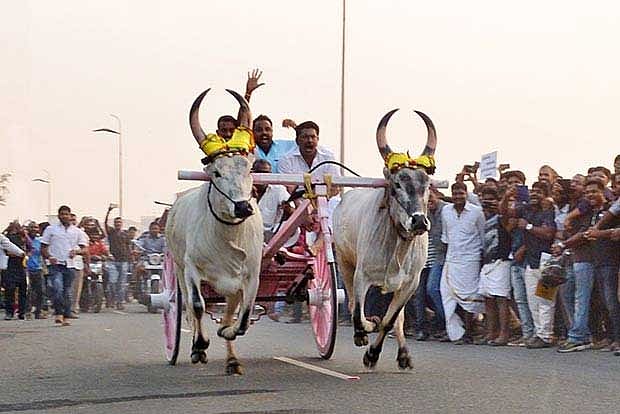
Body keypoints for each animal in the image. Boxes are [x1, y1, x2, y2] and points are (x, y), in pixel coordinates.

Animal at [166, 89, 263, 375]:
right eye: (216, 172)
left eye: (249, 168)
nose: (242, 207)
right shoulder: (191, 269)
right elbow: (197, 306)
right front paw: (200, 346)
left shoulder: (250, 276)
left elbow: (242, 319)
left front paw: (226, 333)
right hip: (177, 268)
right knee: (188, 307)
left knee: (229, 312)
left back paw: (231, 359)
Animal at [332, 109, 437, 369]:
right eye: (397, 183)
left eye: (427, 183)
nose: (419, 221)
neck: (398, 245)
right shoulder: (361, 276)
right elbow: (358, 313)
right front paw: (365, 331)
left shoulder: (410, 284)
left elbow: (391, 321)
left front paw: (373, 354)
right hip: (343, 261)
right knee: (352, 305)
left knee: (397, 319)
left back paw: (403, 354)